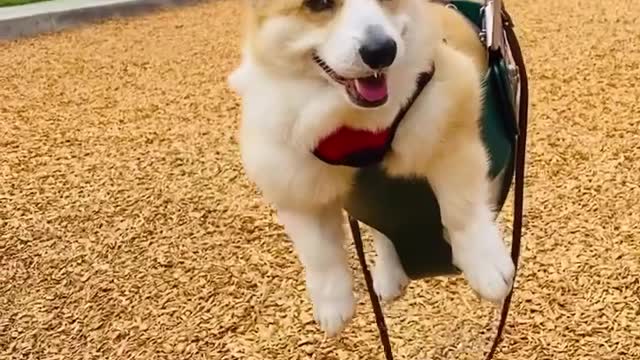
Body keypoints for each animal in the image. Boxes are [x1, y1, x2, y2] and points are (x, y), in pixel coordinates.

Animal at [229, 0, 516, 338]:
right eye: (319, 5)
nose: (382, 51)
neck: (350, 122)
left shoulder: (449, 129)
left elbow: (462, 210)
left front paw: (486, 266)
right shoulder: (294, 183)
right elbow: (319, 252)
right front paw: (333, 306)